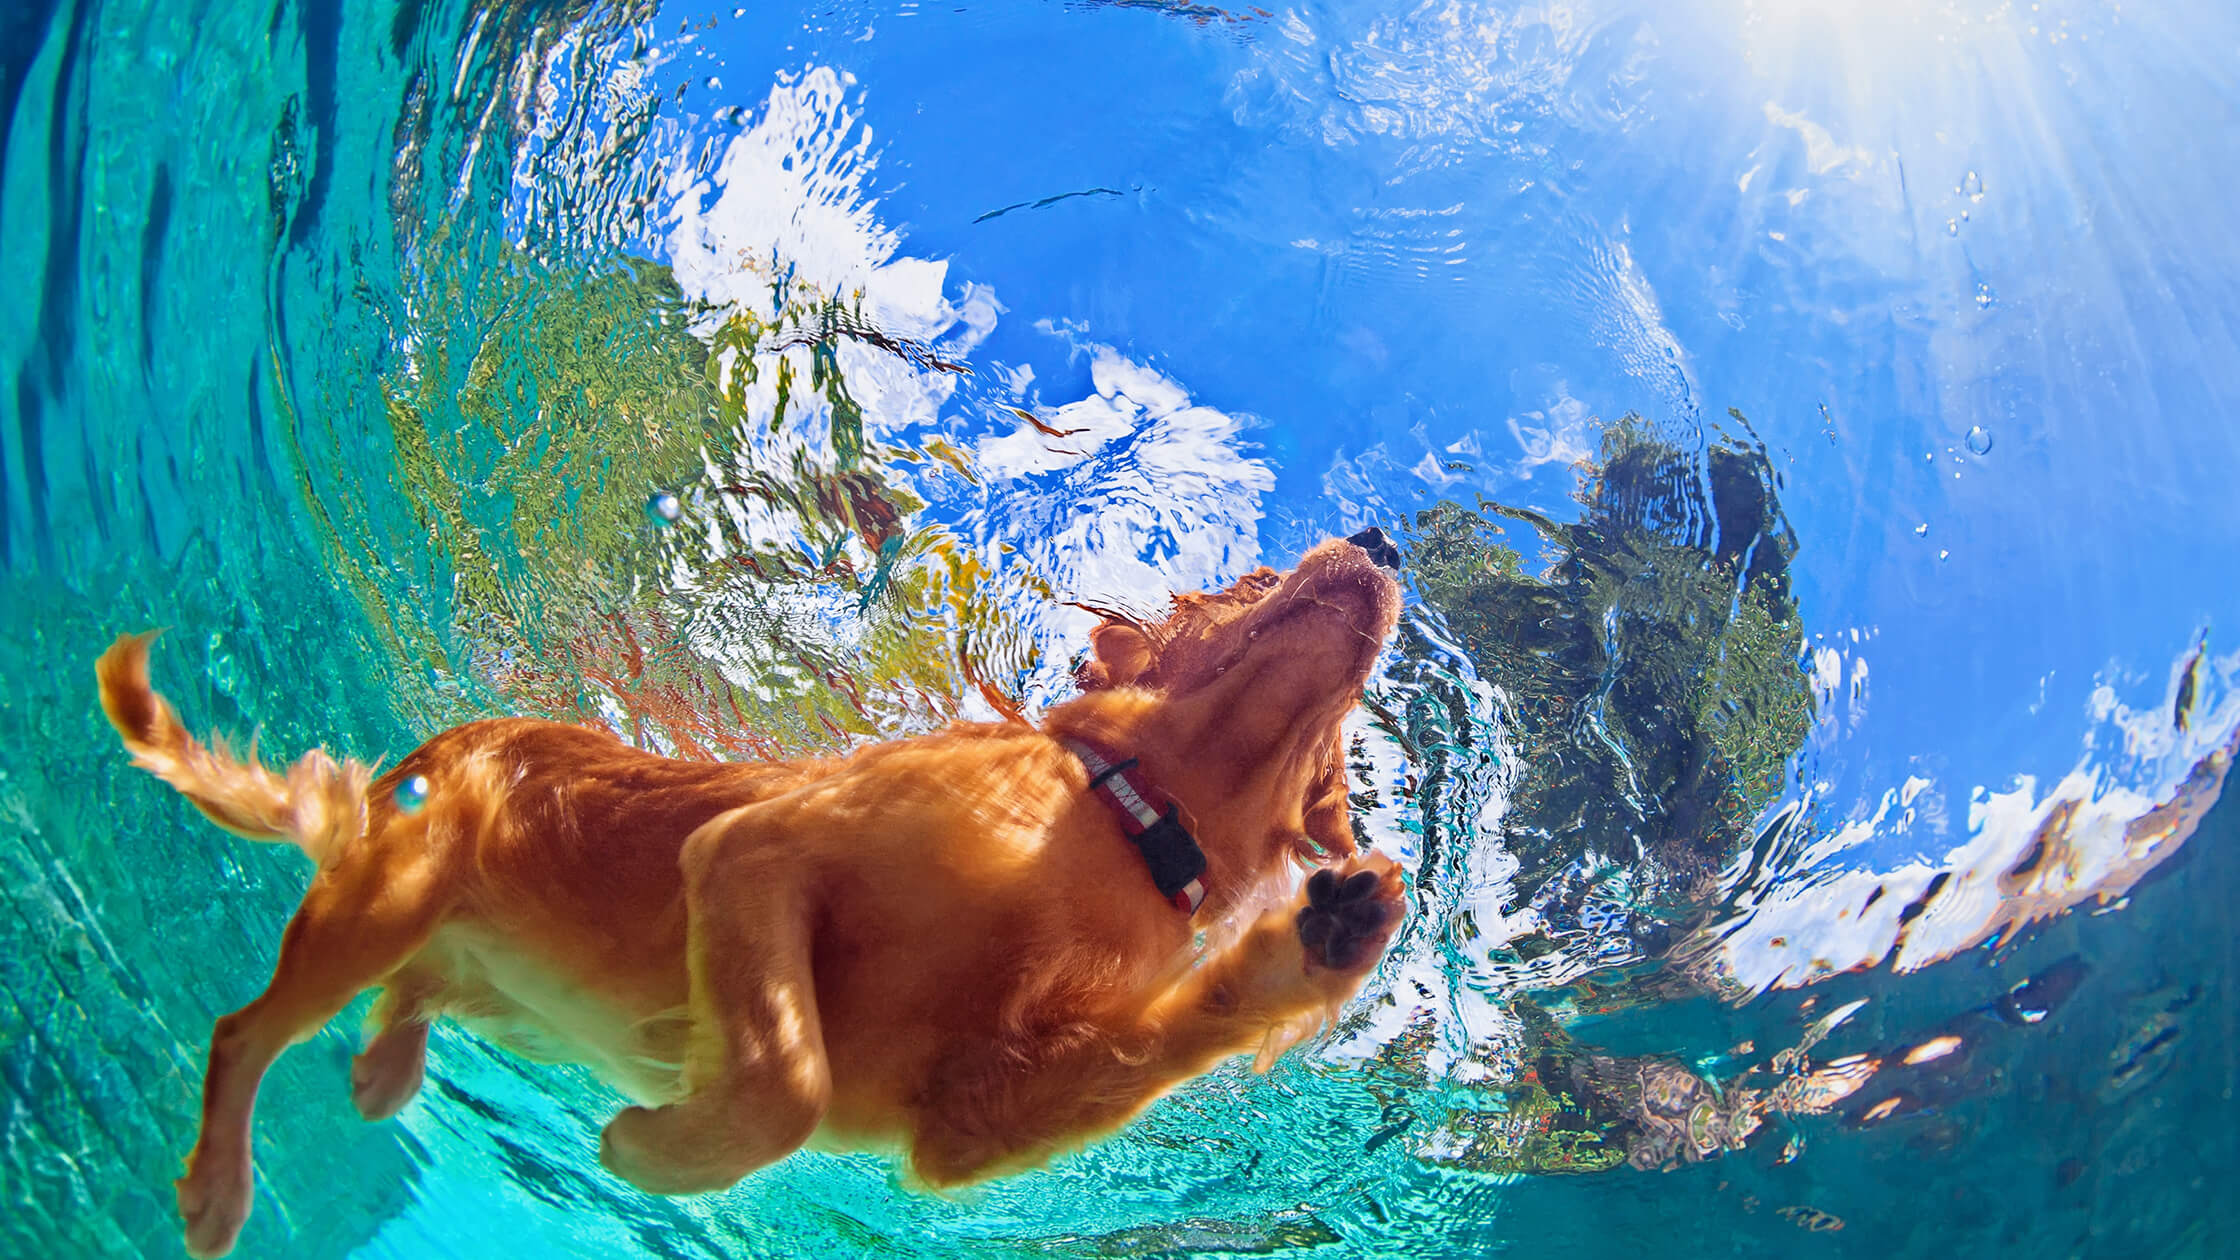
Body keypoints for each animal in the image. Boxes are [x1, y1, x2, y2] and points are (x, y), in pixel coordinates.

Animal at [105, 531, 1406, 1255]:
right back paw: (217, 1189)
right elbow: (786, 1081)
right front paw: (654, 1150)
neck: (1123, 820)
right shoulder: (755, 852)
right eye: (1247, 577)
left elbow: (1134, 1050)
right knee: (241, 1032)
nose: (1383, 536)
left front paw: (1329, 936)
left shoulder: (965, 1120)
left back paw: (385, 1067)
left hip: (494, 988)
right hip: (381, 907)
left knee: (412, 993)